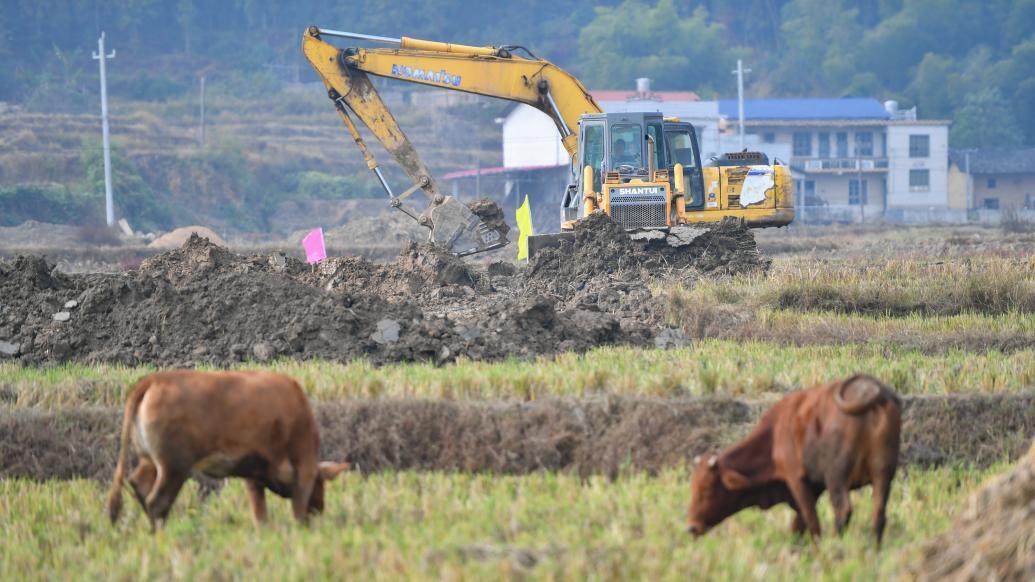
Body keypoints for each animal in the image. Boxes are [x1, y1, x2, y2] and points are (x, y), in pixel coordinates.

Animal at [105, 368, 349, 528]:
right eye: (321, 485)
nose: (319, 510)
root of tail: (154, 379)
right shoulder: (303, 464)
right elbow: (298, 504)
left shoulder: (253, 473)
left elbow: (260, 512)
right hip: (173, 466)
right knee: (157, 502)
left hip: (150, 461)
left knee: (139, 483)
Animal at [687, 372, 898, 542]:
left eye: (707, 489)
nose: (692, 527)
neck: (774, 434)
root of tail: (870, 390)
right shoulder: (813, 488)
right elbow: (799, 525)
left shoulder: (797, 480)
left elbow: (811, 522)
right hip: (883, 475)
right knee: (879, 516)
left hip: (837, 478)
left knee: (843, 511)